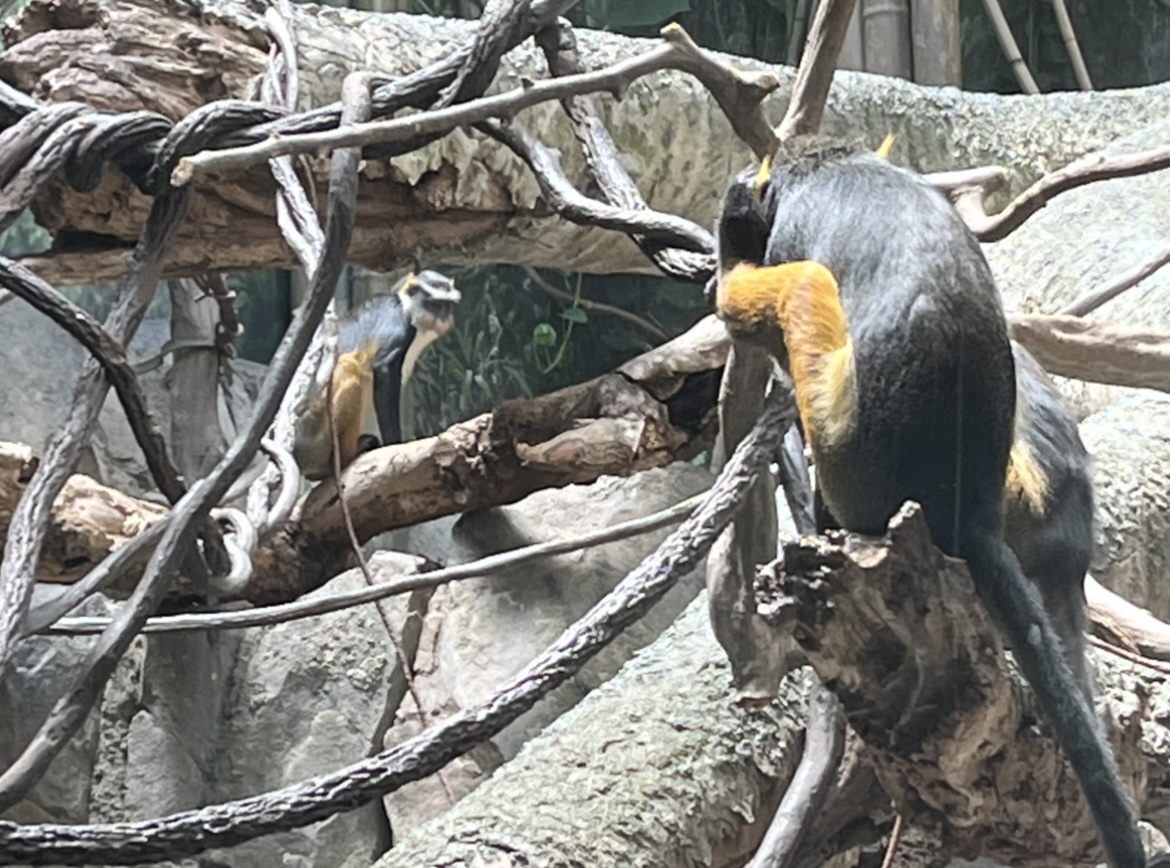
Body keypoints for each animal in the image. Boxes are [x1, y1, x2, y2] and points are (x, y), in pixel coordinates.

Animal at [292, 270, 461, 481]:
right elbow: (384, 369)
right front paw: (394, 445)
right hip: (314, 434)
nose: (444, 319)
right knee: (348, 366)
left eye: (447, 305)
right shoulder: (399, 324)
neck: (405, 306)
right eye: (435, 304)